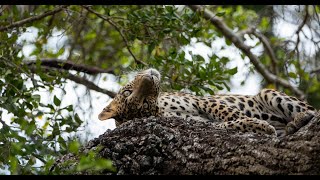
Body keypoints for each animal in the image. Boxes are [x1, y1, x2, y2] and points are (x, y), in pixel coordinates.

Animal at [99, 68, 316, 137]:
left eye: (127, 92)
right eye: (143, 103)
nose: (149, 78)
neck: (163, 109)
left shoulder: (200, 101)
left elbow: (227, 112)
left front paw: (257, 122)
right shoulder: (197, 123)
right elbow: (226, 124)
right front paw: (260, 125)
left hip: (268, 92)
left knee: (314, 111)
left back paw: (300, 117)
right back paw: (292, 125)